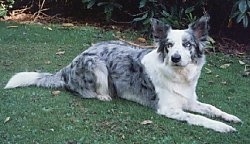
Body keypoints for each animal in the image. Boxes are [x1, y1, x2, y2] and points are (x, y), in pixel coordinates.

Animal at [4, 15, 241, 132]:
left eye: (187, 45)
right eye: (169, 45)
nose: (175, 58)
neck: (178, 75)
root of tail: (67, 67)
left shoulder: (189, 100)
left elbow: (210, 108)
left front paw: (230, 117)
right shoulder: (168, 109)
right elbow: (198, 118)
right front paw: (222, 127)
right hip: (97, 65)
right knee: (90, 93)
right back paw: (105, 96)